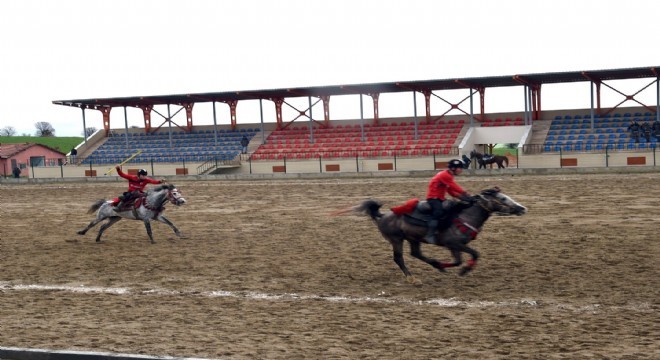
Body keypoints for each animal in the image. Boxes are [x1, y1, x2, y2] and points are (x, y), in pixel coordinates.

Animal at [336, 188, 524, 284]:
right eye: (503, 198)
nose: (522, 208)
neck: (464, 217)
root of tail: (383, 216)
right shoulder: (454, 244)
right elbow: (471, 255)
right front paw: (465, 270)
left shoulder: (455, 246)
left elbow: (461, 259)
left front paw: (446, 267)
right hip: (397, 239)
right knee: (399, 258)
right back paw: (412, 277)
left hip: (413, 239)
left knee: (416, 253)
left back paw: (436, 265)